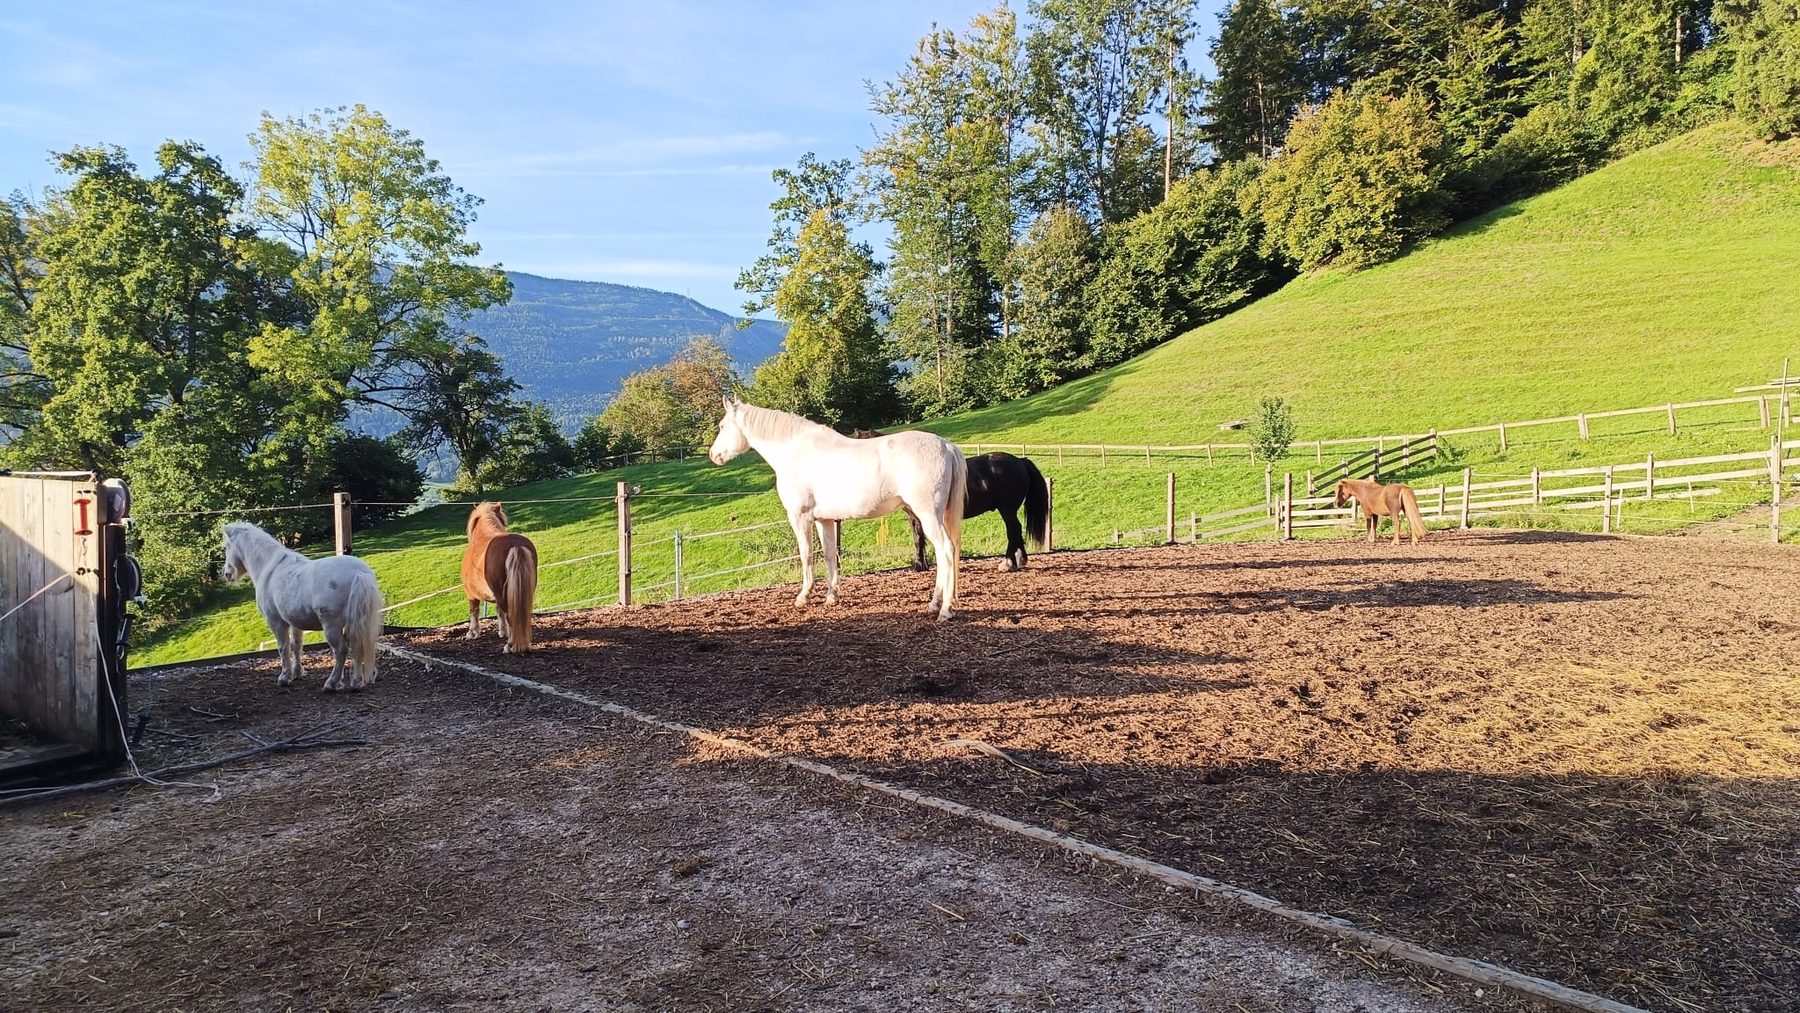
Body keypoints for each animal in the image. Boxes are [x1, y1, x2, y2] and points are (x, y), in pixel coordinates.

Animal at [221, 521, 384, 691]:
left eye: (226, 547)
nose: (226, 573)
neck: (269, 569)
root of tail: (359, 573)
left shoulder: (276, 622)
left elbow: (283, 648)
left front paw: (285, 677)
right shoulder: (295, 622)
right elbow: (296, 646)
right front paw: (297, 673)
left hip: (331, 625)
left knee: (341, 650)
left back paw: (332, 683)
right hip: (355, 622)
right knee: (356, 646)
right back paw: (356, 682)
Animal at [462, 501, 539, 653]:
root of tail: (516, 545)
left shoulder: (471, 595)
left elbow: (474, 612)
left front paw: (472, 633)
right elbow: (499, 612)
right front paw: (503, 632)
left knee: (510, 615)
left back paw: (510, 646)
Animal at [712, 396, 966, 620]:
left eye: (722, 426)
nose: (713, 455)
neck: (795, 452)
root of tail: (946, 446)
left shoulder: (800, 517)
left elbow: (806, 555)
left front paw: (803, 596)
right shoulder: (823, 520)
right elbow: (829, 555)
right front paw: (831, 596)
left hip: (928, 515)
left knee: (945, 550)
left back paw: (944, 610)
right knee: (947, 552)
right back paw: (936, 603)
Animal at [854, 431, 1047, 572]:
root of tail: (1020, 461)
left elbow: (920, 539)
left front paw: (919, 565)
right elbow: (918, 538)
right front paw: (921, 565)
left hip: (1006, 509)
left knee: (1013, 530)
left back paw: (1008, 563)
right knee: (1016, 531)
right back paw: (1020, 560)